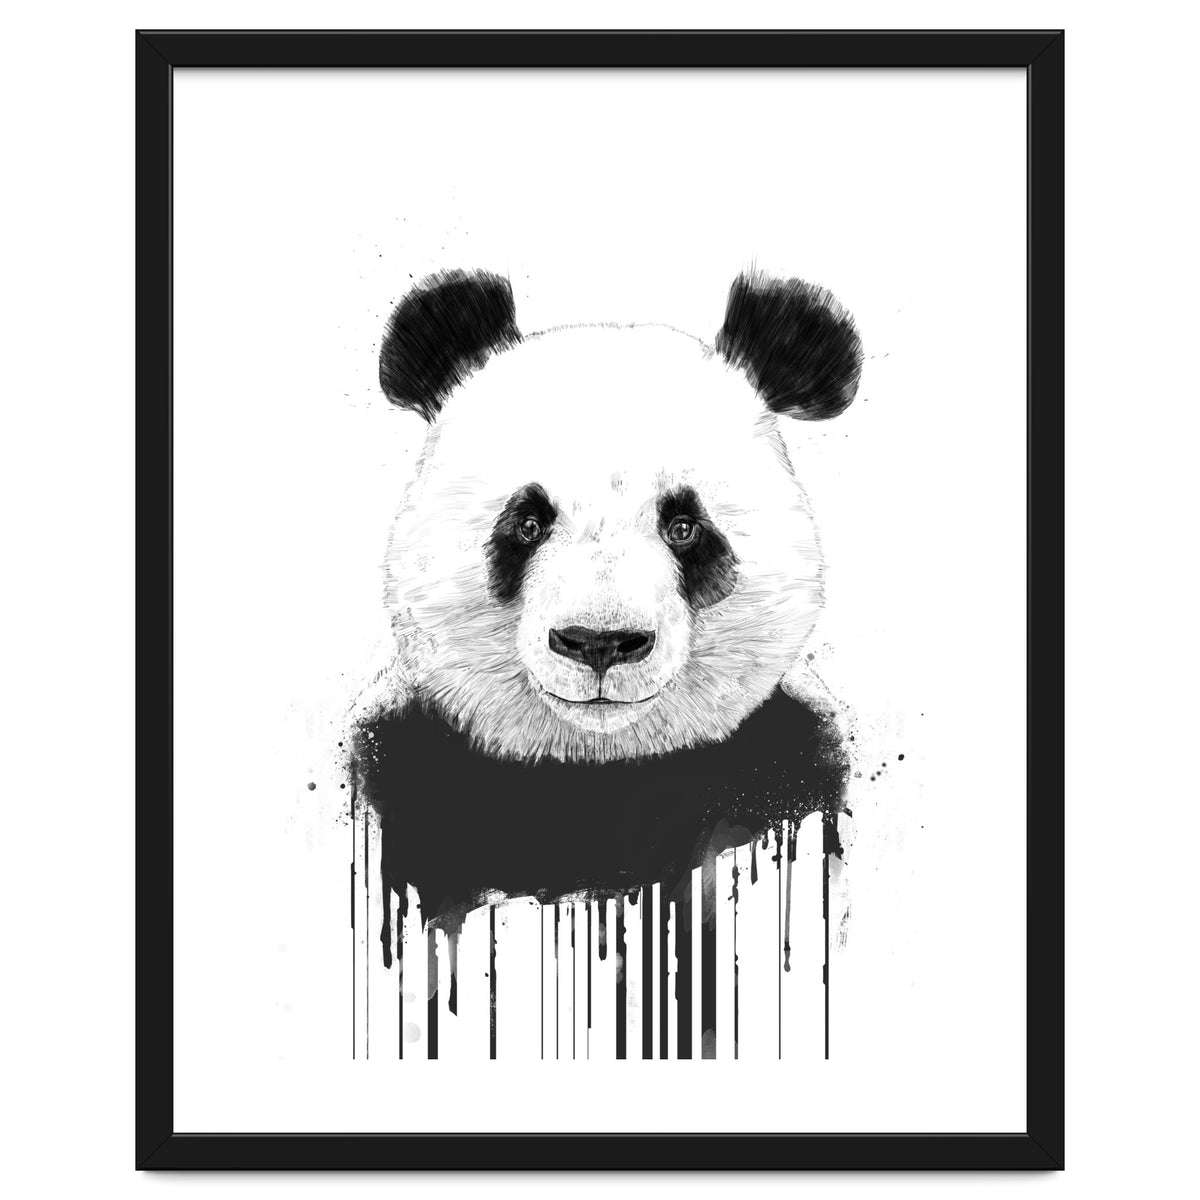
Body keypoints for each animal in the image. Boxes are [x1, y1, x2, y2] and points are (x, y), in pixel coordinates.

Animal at [350, 268, 861, 970]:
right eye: (527, 523)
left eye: (684, 526)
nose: (600, 643)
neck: (598, 770)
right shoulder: (409, 762)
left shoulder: (786, 762)